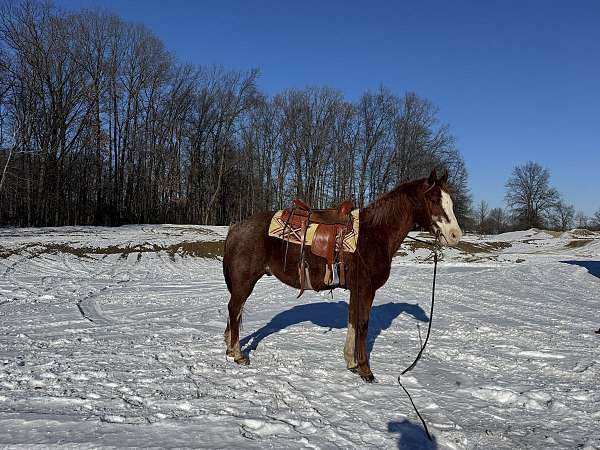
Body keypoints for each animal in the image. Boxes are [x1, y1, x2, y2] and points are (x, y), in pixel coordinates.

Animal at [223, 171, 462, 382]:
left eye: (451, 201)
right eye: (433, 199)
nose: (454, 235)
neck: (375, 234)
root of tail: (236, 227)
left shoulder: (356, 290)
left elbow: (353, 322)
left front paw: (352, 362)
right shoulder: (366, 290)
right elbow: (363, 325)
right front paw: (365, 370)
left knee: (235, 312)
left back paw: (231, 348)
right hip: (245, 281)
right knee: (234, 309)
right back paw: (237, 354)